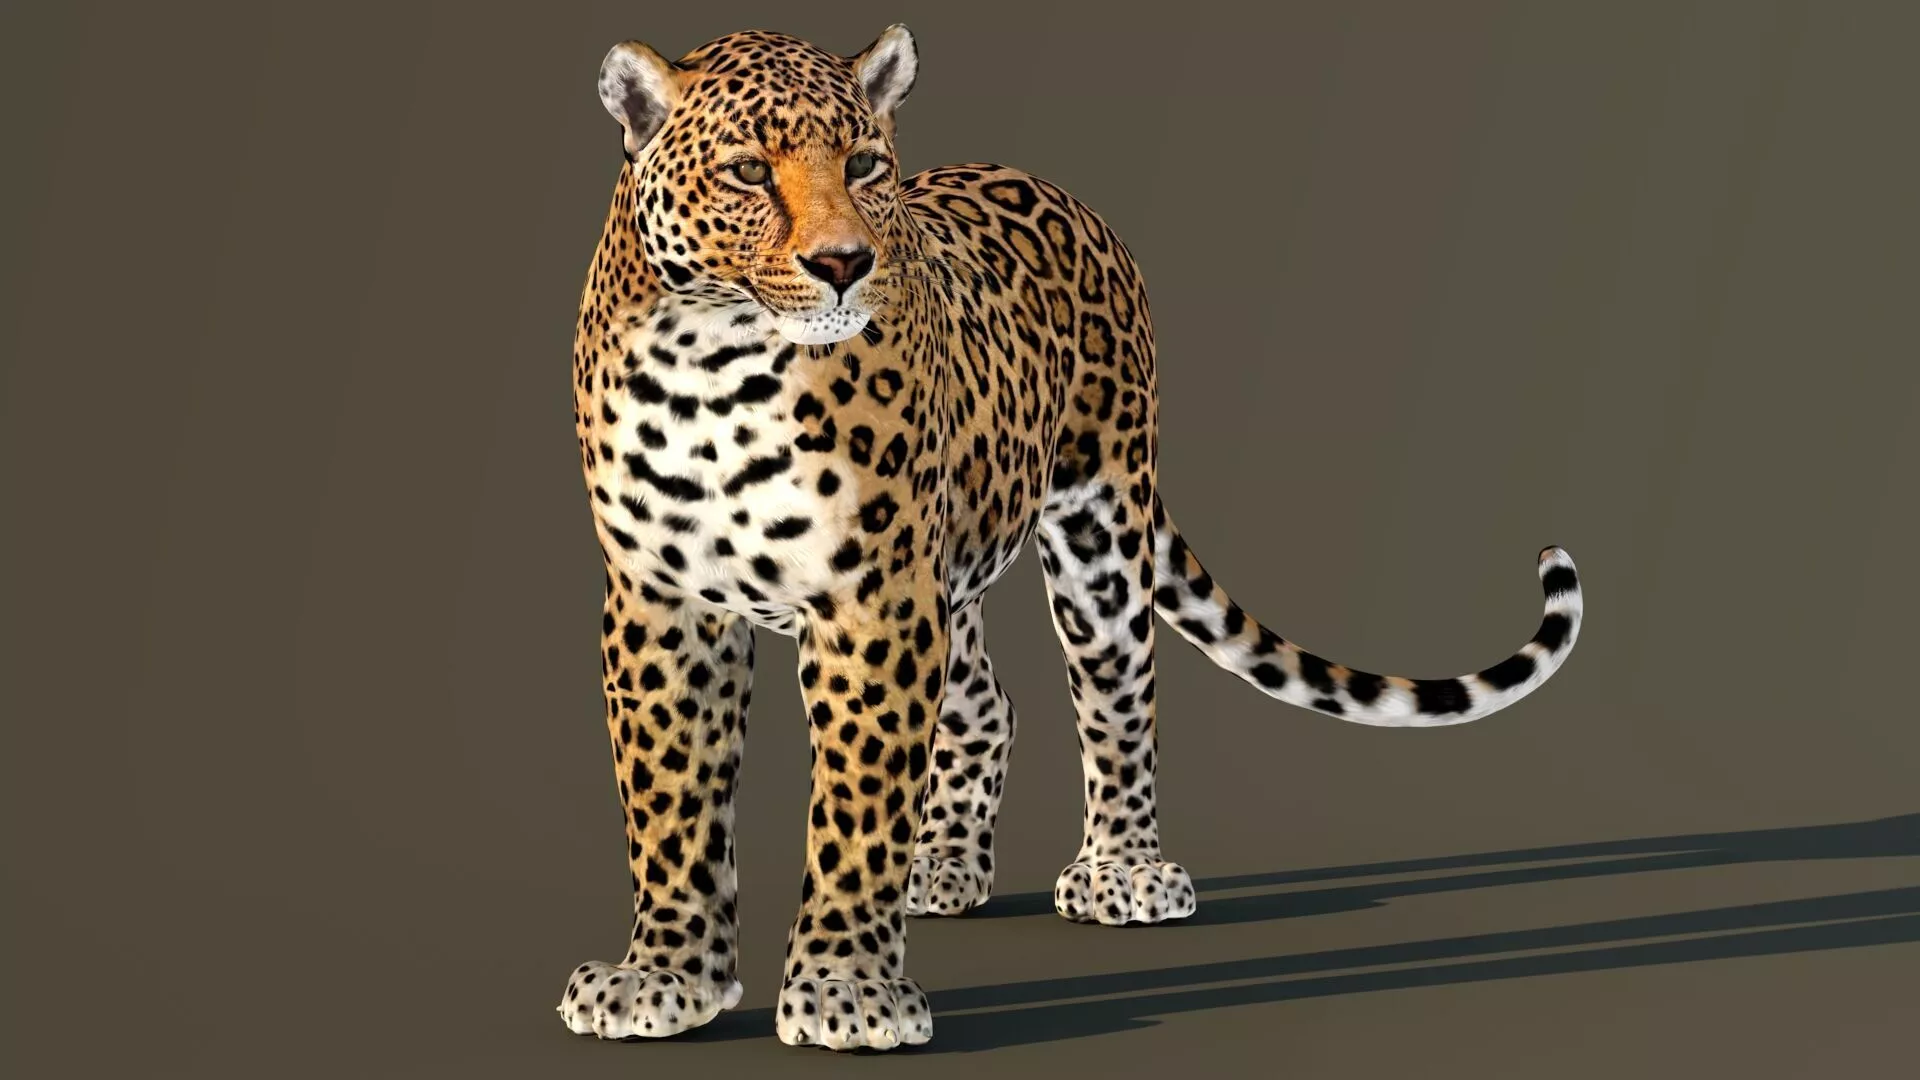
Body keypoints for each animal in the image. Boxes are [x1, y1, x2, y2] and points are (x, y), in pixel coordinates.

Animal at [556, 24, 1584, 1052]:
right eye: (745, 172)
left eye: (865, 166)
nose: (845, 263)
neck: (715, 368)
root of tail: (1062, 194)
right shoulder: (662, 599)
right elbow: (670, 801)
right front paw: (664, 976)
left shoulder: (873, 599)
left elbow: (858, 802)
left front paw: (847, 989)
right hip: (951, 568)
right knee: (987, 703)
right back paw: (944, 867)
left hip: (1096, 532)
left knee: (1118, 700)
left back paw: (1122, 872)